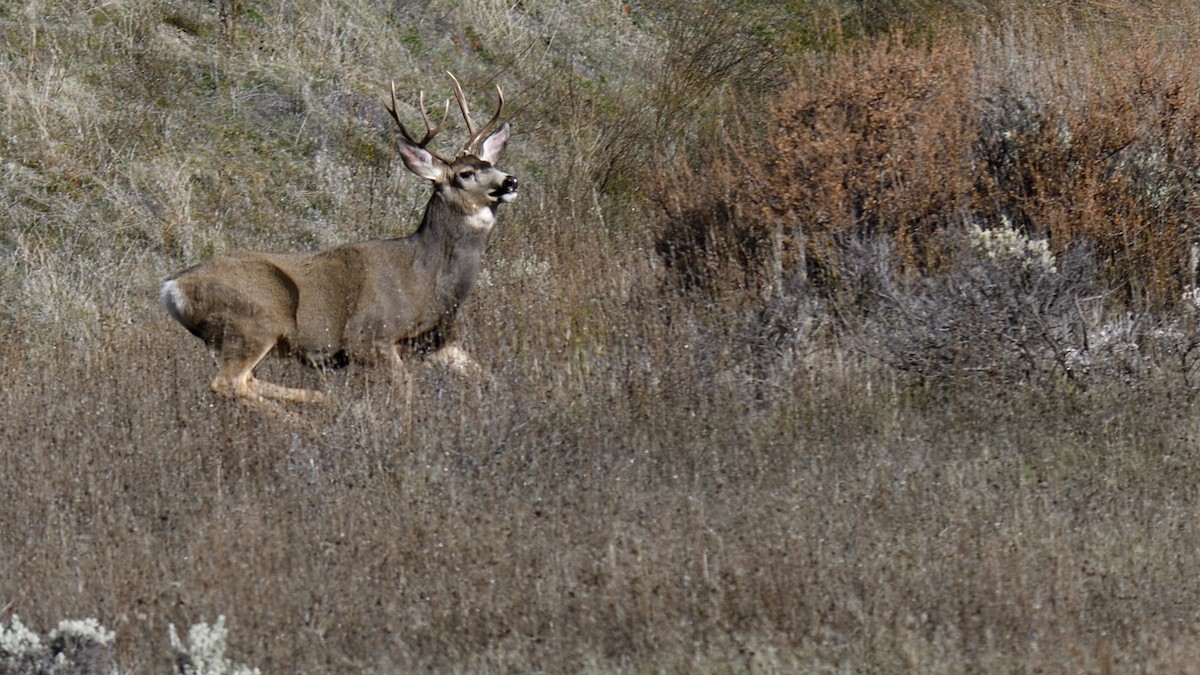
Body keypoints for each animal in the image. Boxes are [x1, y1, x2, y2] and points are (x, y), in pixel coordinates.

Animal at [159, 73, 517, 406]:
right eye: (465, 174)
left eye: (490, 163)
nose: (510, 180)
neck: (428, 280)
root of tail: (172, 288)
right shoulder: (368, 335)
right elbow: (406, 389)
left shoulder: (439, 340)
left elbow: (491, 377)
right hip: (253, 320)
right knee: (227, 383)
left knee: (245, 381)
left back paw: (317, 399)